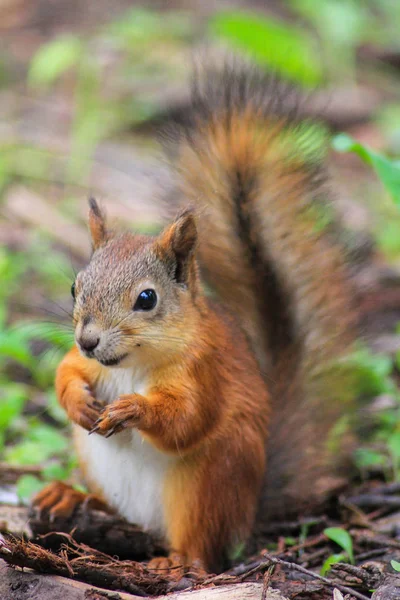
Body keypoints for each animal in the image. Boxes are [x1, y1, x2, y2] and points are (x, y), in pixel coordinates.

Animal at [32, 63, 356, 576]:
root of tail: (250, 508)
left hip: (210, 483)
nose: (88, 340)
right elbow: (65, 371)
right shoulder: (85, 362)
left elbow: (187, 419)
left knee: (204, 549)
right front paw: (77, 400)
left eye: (147, 298)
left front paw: (132, 409)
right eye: (74, 288)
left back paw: (175, 562)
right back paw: (71, 496)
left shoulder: (204, 373)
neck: (131, 366)